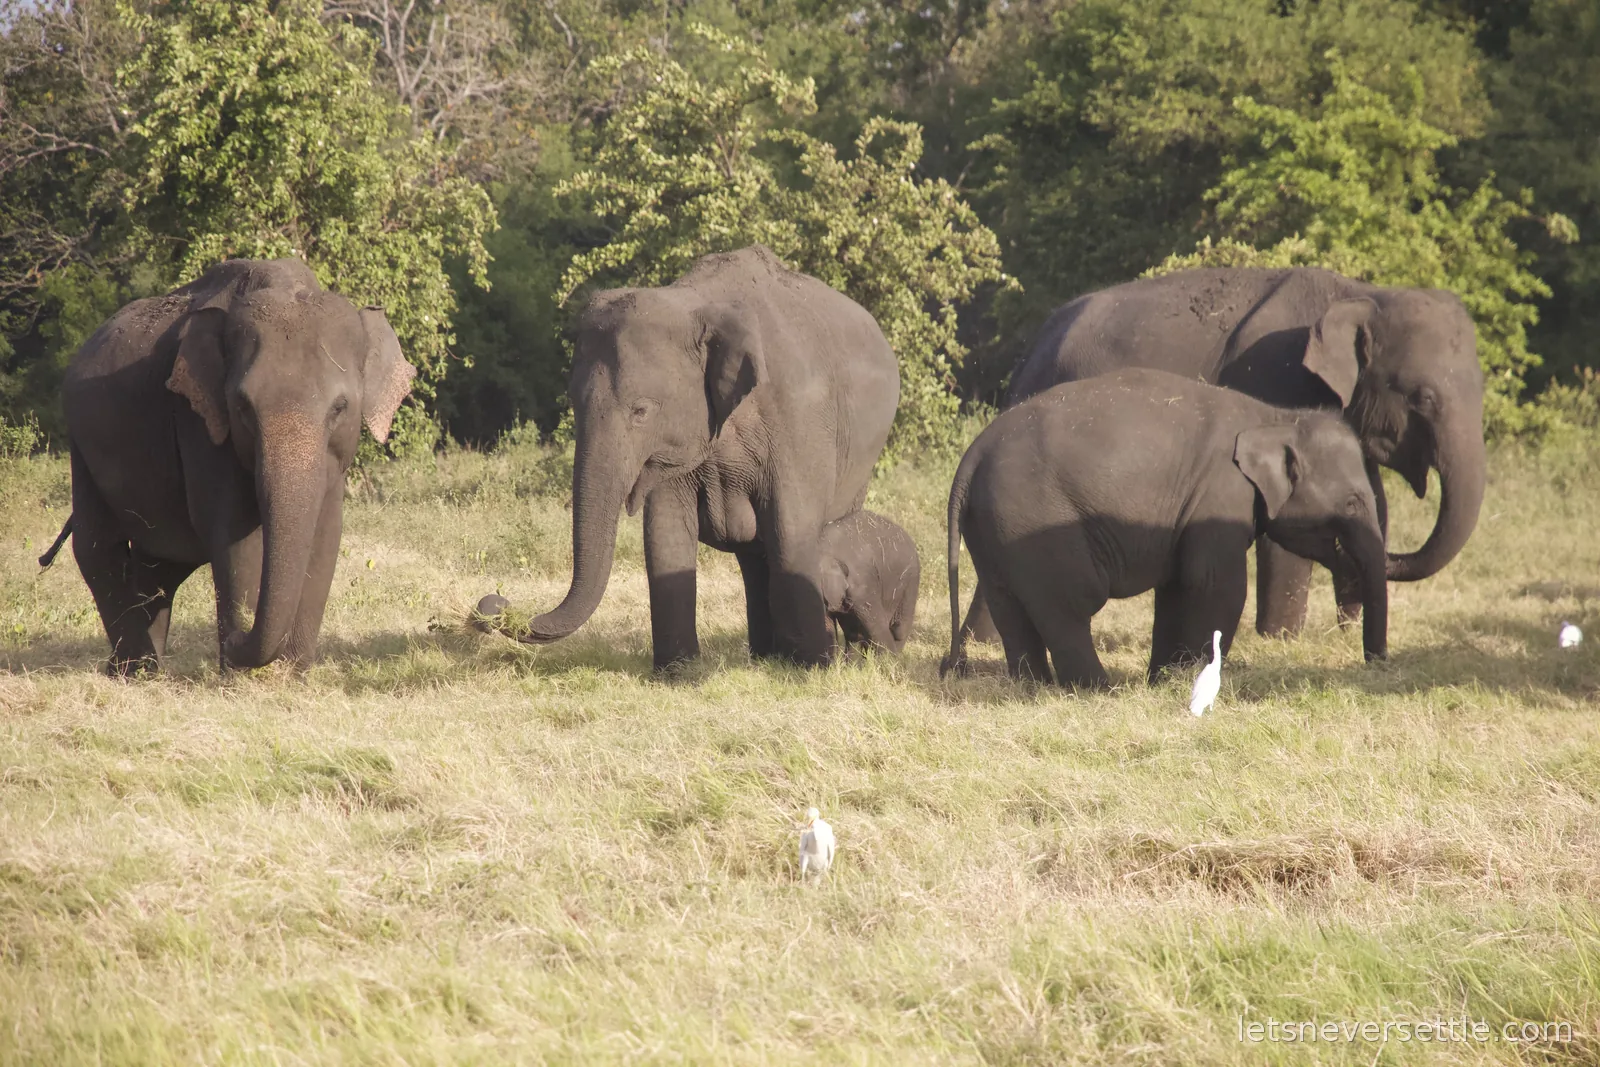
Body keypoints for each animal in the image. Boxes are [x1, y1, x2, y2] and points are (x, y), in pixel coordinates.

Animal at [51, 258, 415, 674]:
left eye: (340, 408)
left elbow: (326, 534)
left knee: (156, 568)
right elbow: (234, 535)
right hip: (81, 444)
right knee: (99, 548)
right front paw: (242, 672)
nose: (235, 638)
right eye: (242, 406)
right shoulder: (199, 423)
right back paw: (136, 670)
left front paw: (293, 672)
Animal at [483, 246, 899, 669]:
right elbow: (665, 531)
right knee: (754, 558)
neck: (695, 304)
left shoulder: (799, 418)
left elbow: (792, 529)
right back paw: (766, 657)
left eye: (641, 411)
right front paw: (678, 673)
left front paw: (814, 669)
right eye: (572, 402)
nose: (494, 604)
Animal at [942, 369, 1388, 687]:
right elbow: (1215, 586)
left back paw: (1034, 687)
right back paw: (1099, 690)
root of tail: (972, 456)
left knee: (1009, 606)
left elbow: (1176, 588)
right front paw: (1189, 680)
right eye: (1353, 502)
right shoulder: (1220, 496)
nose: (1376, 662)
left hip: (995, 528)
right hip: (1038, 522)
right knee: (1069, 605)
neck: (1276, 418)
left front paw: (1162, 680)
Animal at [960, 267, 1484, 648]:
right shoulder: (1275, 377)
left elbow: (1376, 497)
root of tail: (1034, 343)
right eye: (1422, 397)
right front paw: (1279, 641)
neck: (1361, 291)